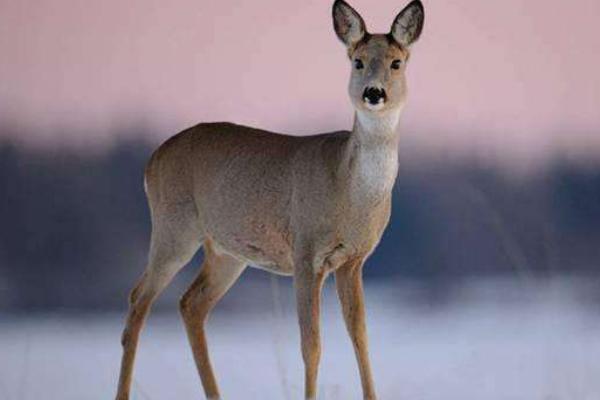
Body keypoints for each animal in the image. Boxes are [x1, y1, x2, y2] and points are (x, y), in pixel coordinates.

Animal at [117, 1, 424, 398]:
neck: (349, 188)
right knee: (139, 299)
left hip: (226, 251)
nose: (374, 93)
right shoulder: (306, 252)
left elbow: (361, 338)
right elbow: (311, 344)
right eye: (357, 61)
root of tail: (152, 160)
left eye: (396, 62)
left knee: (190, 303)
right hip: (174, 228)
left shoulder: (354, 260)